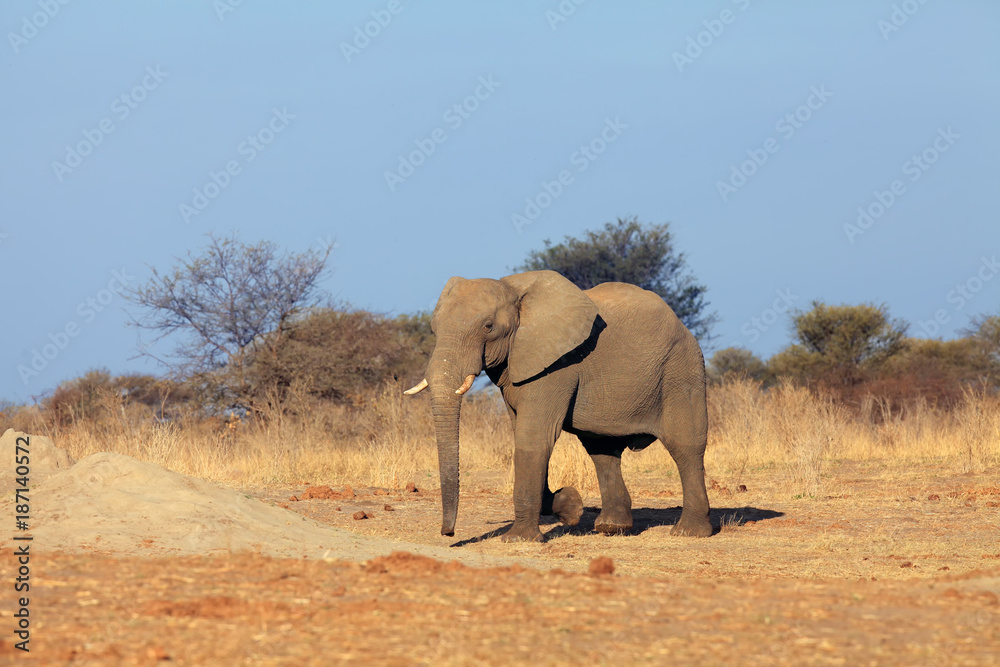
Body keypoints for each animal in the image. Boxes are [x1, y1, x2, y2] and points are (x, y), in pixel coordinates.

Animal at [404, 270, 712, 543]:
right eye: (433, 329)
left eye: (488, 327)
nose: (448, 533)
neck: (513, 290)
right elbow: (523, 436)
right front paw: (571, 507)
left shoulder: (557, 365)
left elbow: (534, 439)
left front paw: (518, 539)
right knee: (602, 450)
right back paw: (612, 527)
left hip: (680, 370)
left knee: (685, 447)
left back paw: (689, 532)